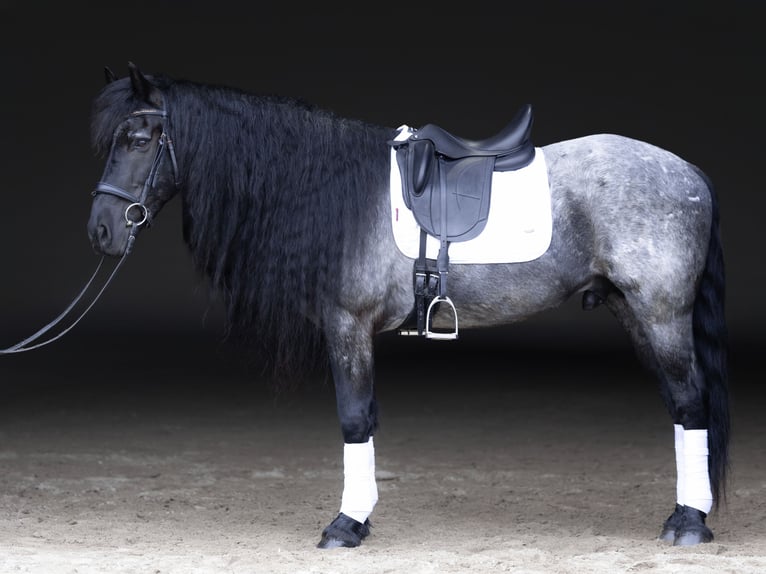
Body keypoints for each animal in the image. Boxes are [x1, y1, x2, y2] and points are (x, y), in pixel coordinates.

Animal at [86, 62, 728, 549]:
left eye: (137, 139)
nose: (101, 231)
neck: (332, 192)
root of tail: (690, 172)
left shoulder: (347, 326)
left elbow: (354, 419)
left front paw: (346, 525)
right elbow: (365, 419)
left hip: (661, 313)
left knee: (690, 402)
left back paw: (689, 523)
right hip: (633, 311)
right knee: (679, 405)